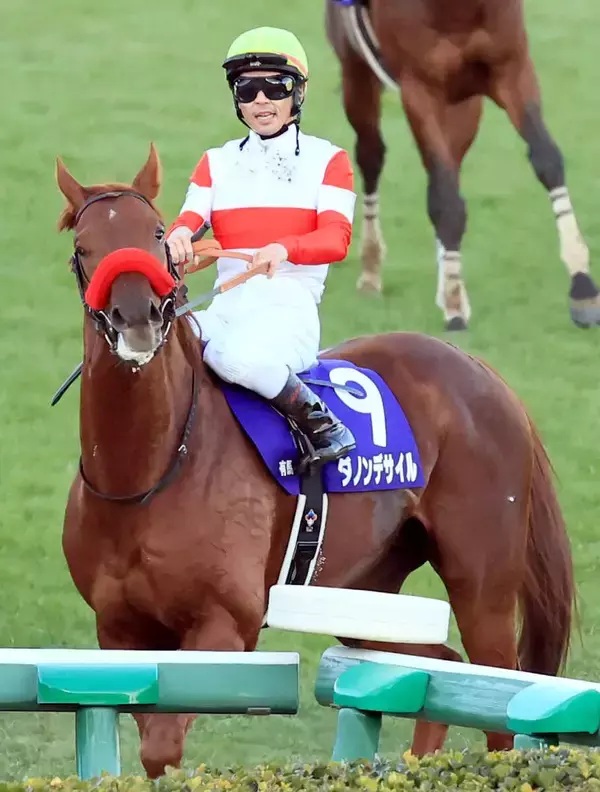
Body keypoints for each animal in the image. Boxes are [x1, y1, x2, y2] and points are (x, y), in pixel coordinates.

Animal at [55, 143, 576, 777]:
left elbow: (162, 747)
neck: (148, 473)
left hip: (483, 585)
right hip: (364, 594)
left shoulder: (226, 624)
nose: (138, 319)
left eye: (155, 235)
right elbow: (153, 744)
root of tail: (476, 367)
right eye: (84, 248)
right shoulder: (120, 630)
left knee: (493, 699)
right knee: (436, 663)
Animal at [325, 0, 599, 330]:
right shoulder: (419, 88)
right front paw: (454, 306)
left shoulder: (511, 68)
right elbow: (445, 198)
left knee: (445, 170)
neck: (460, 9)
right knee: (372, 157)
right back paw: (371, 271)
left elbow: (547, 160)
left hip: (464, 105)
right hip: (357, 76)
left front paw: (582, 284)